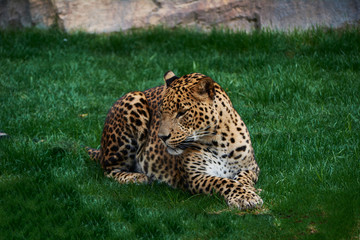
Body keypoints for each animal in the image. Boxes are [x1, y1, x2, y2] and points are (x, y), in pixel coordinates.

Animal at [86, 71, 262, 210]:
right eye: (161, 112)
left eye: (182, 113)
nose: (162, 137)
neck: (219, 140)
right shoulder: (195, 176)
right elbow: (224, 182)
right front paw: (246, 197)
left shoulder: (252, 167)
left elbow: (244, 178)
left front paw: (250, 191)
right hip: (132, 102)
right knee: (108, 169)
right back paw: (137, 177)